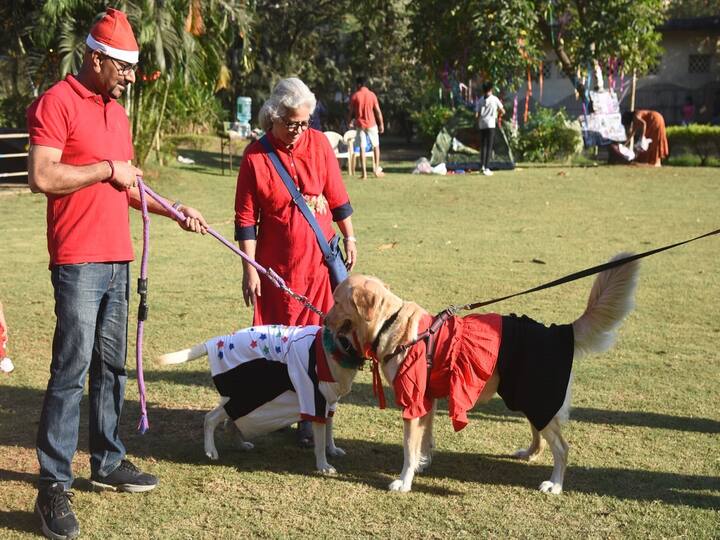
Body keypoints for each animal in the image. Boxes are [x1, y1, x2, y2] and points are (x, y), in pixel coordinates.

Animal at [158, 324, 360, 472]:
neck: (332, 348)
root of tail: (214, 342)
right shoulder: (314, 399)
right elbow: (320, 440)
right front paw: (323, 465)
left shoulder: (330, 402)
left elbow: (329, 431)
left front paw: (332, 450)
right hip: (249, 396)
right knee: (211, 418)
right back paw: (211, 450)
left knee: (230, 423)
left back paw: (240, 445)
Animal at [324, 253, 640, 494]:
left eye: (337, 301)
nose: (324, 320)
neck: (391, 323)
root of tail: (560, 331)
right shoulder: (428, 401)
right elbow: (425, 440)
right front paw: (423, 463)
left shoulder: (413, 402)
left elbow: (408, 448)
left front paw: (404, 481)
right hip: (526, 398)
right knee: (539, 434)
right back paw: (529, 454)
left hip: (537, 398)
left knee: (562, 448)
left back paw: (555, 485)